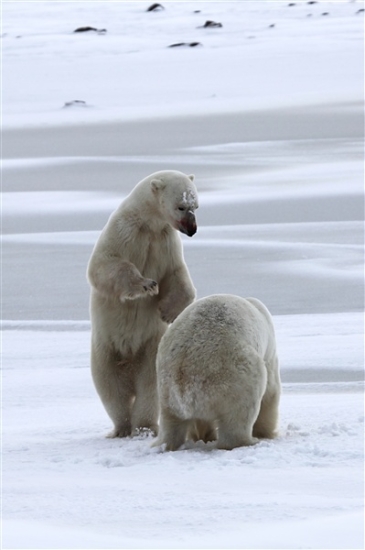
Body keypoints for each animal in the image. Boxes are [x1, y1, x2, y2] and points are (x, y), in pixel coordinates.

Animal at [86, 170, 198, 438]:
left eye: (196, 205)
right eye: (181, 206)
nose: (192, 229)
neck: (149, 224)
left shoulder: (166, 243)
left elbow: (178, 276)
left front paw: (167, 312)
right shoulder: (124, 232)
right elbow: (104, 264)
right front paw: (145, 285)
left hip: (151, 349)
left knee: (150, 386)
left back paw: (145, 427)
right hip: (105, 350)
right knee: (111, 388)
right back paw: (121, 427)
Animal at [152, 296, 280, 450]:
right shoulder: (269, 352)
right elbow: (270, 392)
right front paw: (265, 433)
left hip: (166, 390)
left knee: (171, 421)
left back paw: (167, 443)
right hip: (233, 376)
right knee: (241, 412)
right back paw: (248, 441)